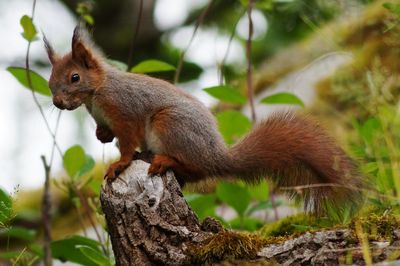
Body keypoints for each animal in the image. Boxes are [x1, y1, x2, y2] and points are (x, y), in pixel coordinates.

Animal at [43, 27, 362, 214]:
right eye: (50, 81)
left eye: (75, 77)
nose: (57, 102)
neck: (96, 95)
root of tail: (216, 156)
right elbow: (108, 133)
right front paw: (101, 135)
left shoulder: (125, 111)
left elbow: (127, 142)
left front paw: (119, 163)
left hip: (168, 124)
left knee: (194, 168)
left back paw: (164, 161)